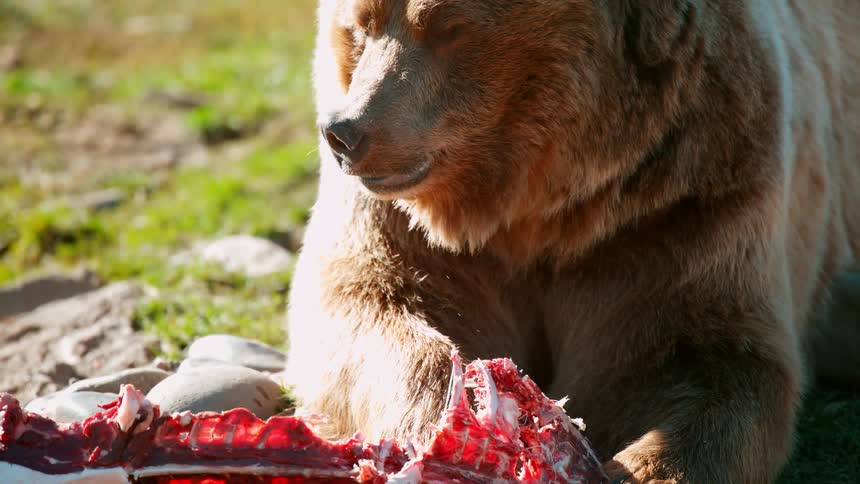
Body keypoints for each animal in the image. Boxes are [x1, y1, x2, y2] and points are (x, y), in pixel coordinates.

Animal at [285, 0, 860, 482]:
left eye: (451, 29)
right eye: (361, 26)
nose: (346, 132)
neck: (535, 208)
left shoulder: (686, 201)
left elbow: (710, 361)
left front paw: (644, 467)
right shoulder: (407, 229)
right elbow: (369, 305)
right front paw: (448, 415)